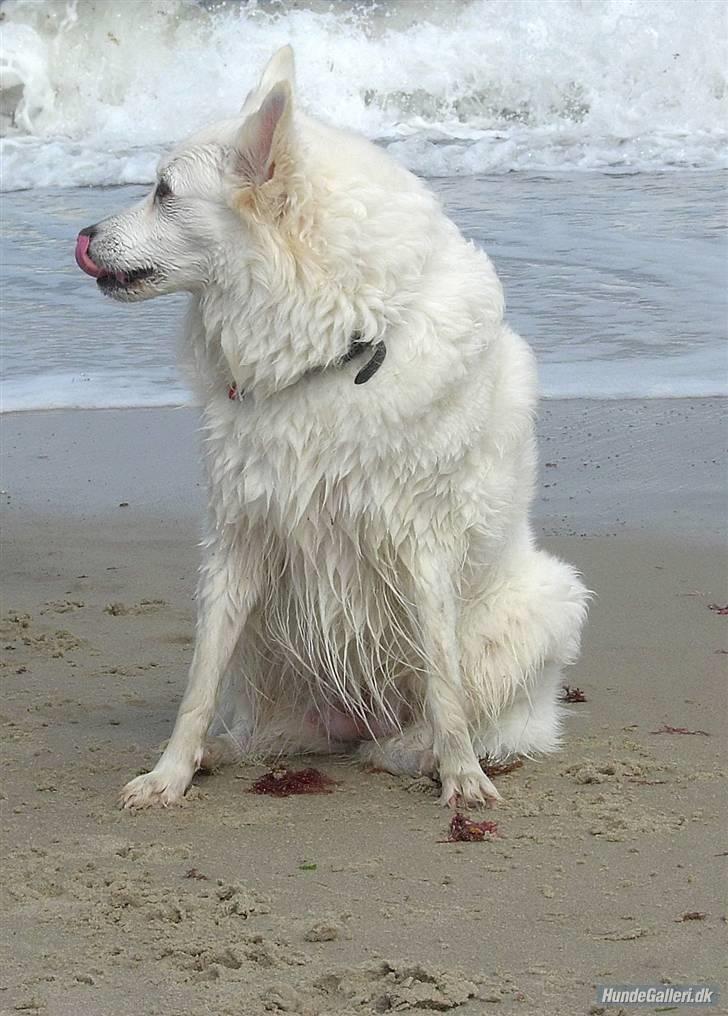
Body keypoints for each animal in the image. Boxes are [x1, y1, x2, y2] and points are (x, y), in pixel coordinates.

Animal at [73, 47, 588, 808]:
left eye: (164, 191)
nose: (81, 237)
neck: (332, 348)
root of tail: (350, 726)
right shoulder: (238, 537)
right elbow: (198, 681)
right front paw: (169, 774)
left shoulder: (421, 540)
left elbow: (444, 678)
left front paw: (461, 778)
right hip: (271, 645)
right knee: (266, 726)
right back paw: (221, 753)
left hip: (548, 601)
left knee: (456, 718)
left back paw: (419, 752)